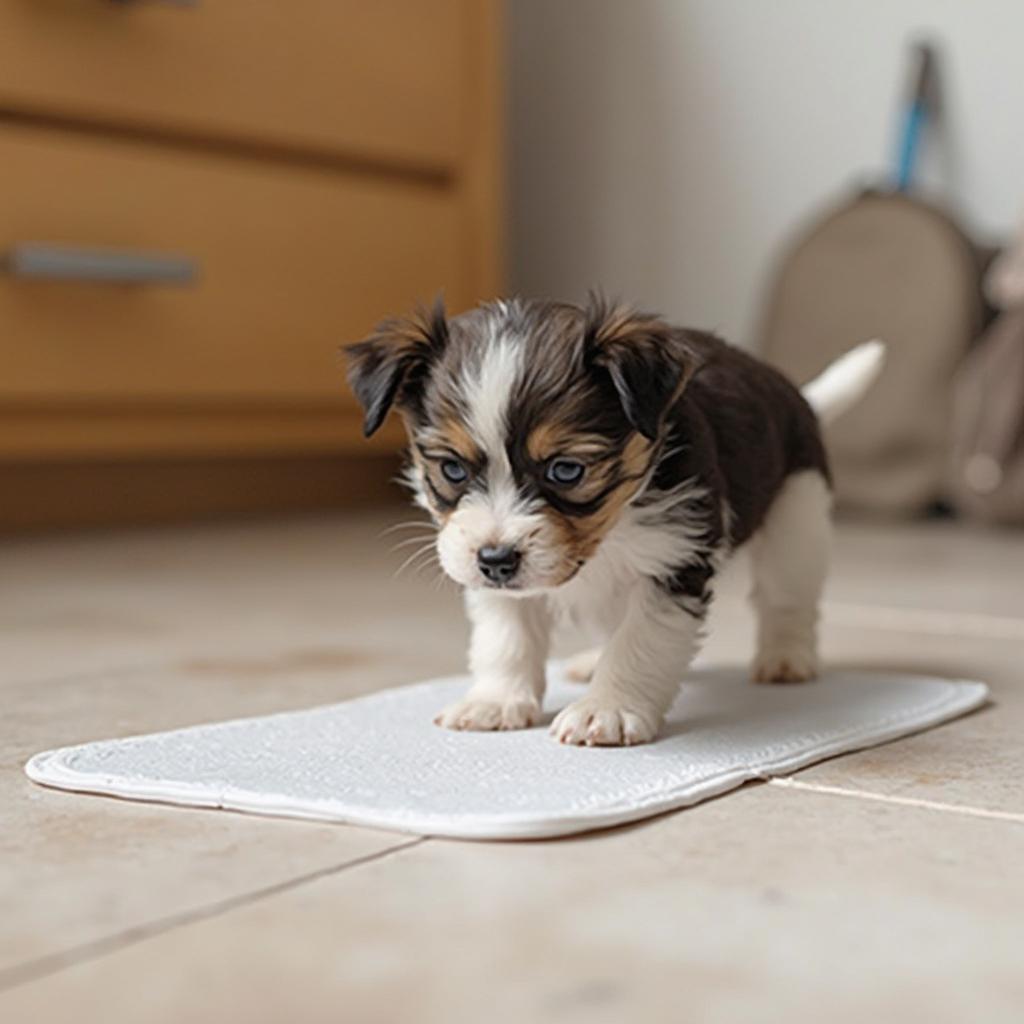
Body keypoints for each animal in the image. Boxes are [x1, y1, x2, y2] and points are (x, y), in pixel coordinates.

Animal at [344, 294, 880, 745]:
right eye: (452, 469)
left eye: (567, 470)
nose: (496, 560)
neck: (613, 529)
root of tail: (800, 399)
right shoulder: (488, 571)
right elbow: (506, 636)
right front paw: (495, 701)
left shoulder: (675, 558)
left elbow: (641, 641)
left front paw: (607, 710)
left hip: (798, 516)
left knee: (787, 600)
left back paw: (786, 659)